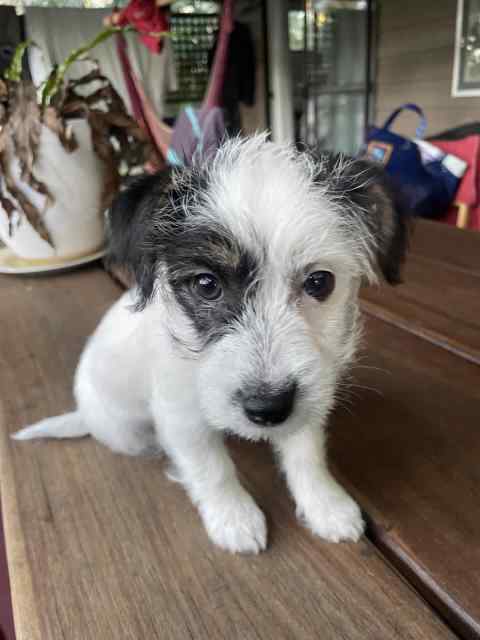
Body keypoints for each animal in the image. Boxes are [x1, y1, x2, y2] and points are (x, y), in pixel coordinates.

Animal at [14, 136, 404, 556]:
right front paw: (233, 518)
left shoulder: (309, 400)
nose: (268, 410)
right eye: (206, 284)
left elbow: (306, 454)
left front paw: (326, 505)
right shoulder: (180, 416)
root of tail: (84, 414)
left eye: (320, 282)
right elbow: (212, 469)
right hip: (125, 430)